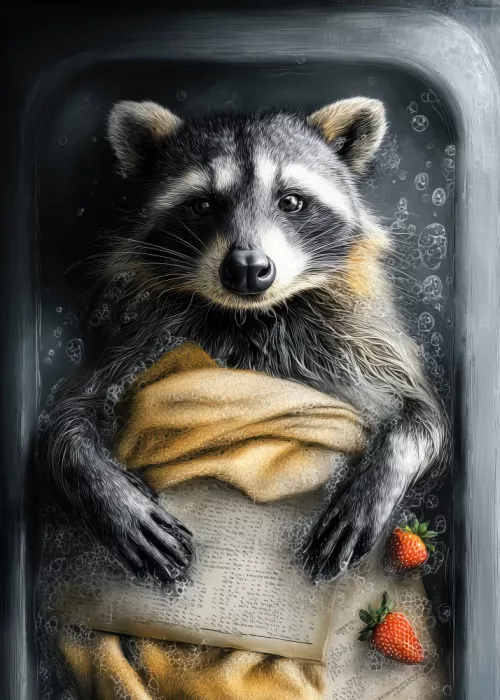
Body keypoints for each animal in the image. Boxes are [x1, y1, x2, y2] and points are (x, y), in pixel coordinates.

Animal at [39, 98, 449, 582]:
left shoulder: (364, 340)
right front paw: (110, 495)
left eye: (291, 202)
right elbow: (62, 426)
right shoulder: (133, 337)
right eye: (201, 205)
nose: (248, 268)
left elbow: (424, 418)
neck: (248, 318)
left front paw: (377, 480)